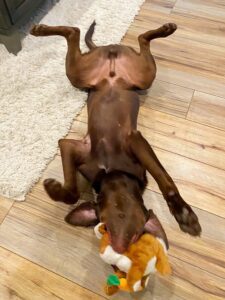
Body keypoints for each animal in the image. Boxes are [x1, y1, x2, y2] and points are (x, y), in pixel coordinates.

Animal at [30, 21, 201, 253]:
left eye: (137, 237)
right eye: (104, 228)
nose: (119, 248)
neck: (111, 173)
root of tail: (108, 48)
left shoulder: (135, 141)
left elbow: (164, 180)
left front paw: (183, 213)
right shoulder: (71, 146)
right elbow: (72, 192)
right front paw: (54, 188)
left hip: (140, 75)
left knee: (134, 38)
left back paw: (165, 30)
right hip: (81, 74)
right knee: (77, 32)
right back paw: (40, 30)